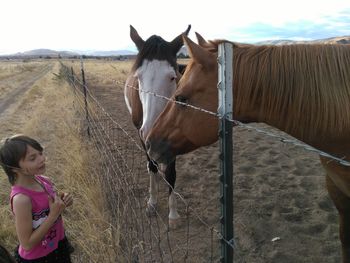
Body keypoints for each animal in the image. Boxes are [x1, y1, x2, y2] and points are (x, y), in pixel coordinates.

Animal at [124, 24, 191, 227]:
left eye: (172, 77)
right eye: (139, 77)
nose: (152, 130)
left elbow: (171, 174)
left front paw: (173, 215)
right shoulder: (142, 134)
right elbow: (152, 166)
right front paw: (152, 203)